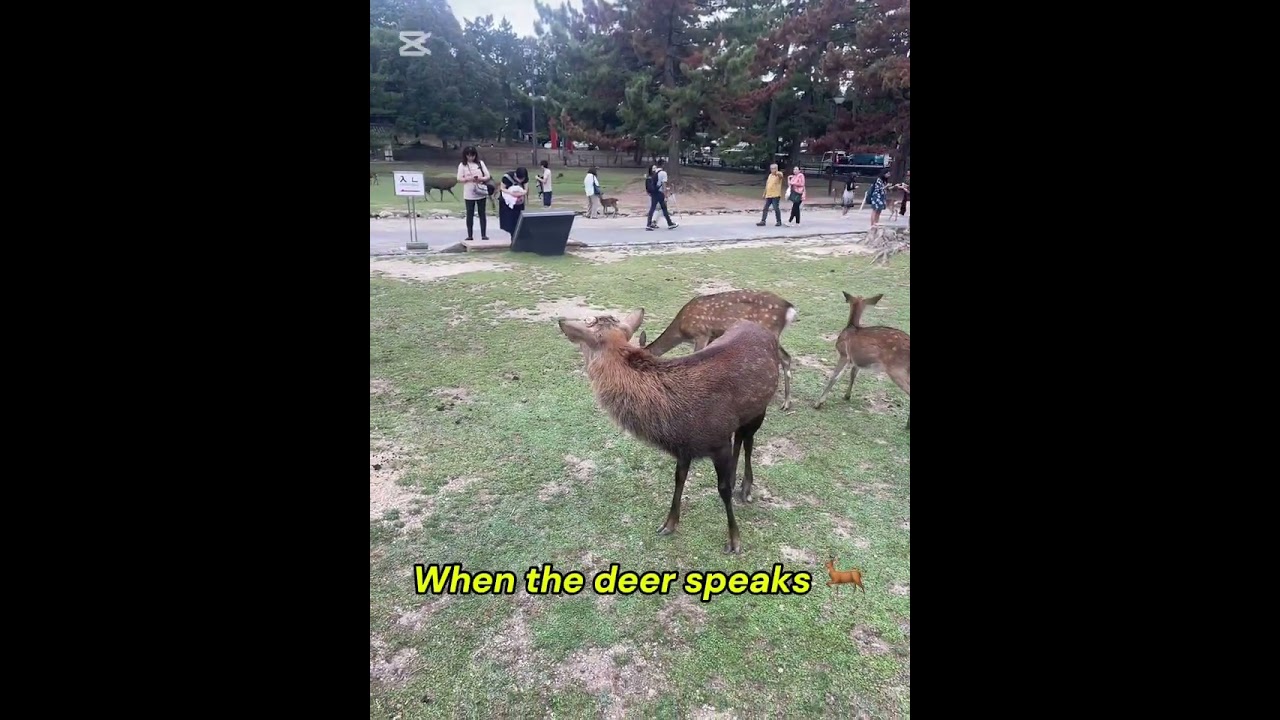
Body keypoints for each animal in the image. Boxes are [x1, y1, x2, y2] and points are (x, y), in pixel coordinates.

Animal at [557, 309, 781, 554]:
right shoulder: (684, 447)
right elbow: (679, 479)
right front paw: (669, 524)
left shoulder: (718, 440)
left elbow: (722, 489)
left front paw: (734, 540)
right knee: (740, 438)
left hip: (760, 408)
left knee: (749, 440)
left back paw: (746, 488)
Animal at [637, 290, 798, 411]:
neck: (682, 330)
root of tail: (789, 309)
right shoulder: (712, 337)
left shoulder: (701, 333)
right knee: (786, 357)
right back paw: (786, 403)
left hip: (770, 330)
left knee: (782, 358)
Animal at [812, 292, 910, 430]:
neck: (851, 327)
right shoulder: (856, 361)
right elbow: (853, 374)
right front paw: (847, 396)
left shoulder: (844, 354)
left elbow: (835, 376)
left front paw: (818, 403)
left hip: (897, 369)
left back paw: (907, 425)